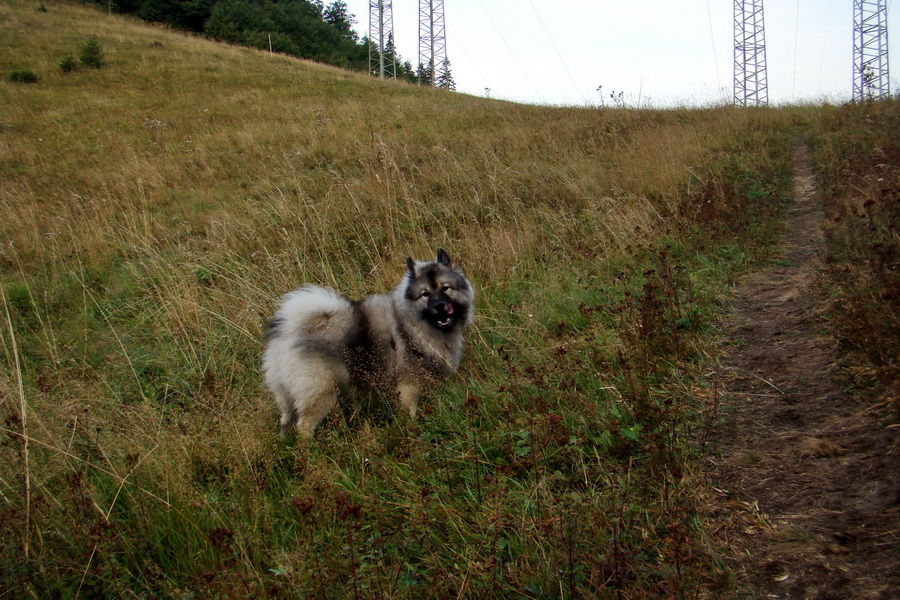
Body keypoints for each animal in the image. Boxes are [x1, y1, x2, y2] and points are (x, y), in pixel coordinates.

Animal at [264, 248, 474, 436]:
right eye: (425, 294)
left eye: (445, 288)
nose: (440, 306)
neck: (413, 322)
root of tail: (287, 334)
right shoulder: (408, 385)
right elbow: (411, 409)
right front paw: (414, 426)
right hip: (320, 391)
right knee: (304, 426)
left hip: (287, 395)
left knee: (285, 420)